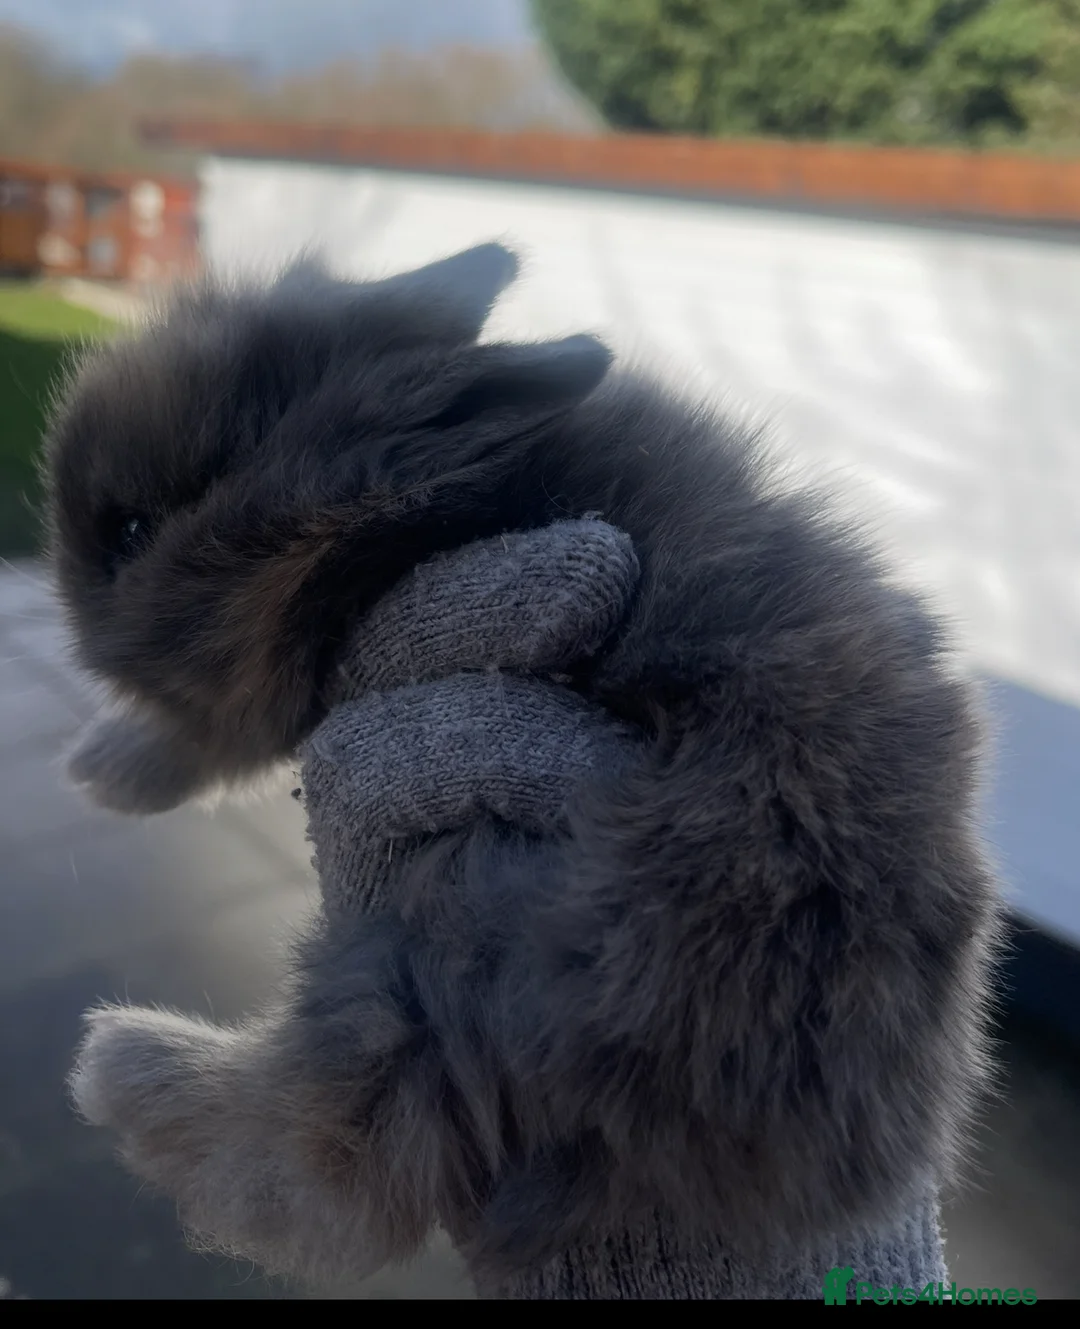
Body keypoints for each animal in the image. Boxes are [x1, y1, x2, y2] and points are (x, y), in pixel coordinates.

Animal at [44, 242, 1002, 1281]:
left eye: (131, 530)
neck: (408, 517)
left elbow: (207, 734)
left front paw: (105, 766)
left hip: (464, 923)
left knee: (336, 1161)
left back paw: (122, 1067)